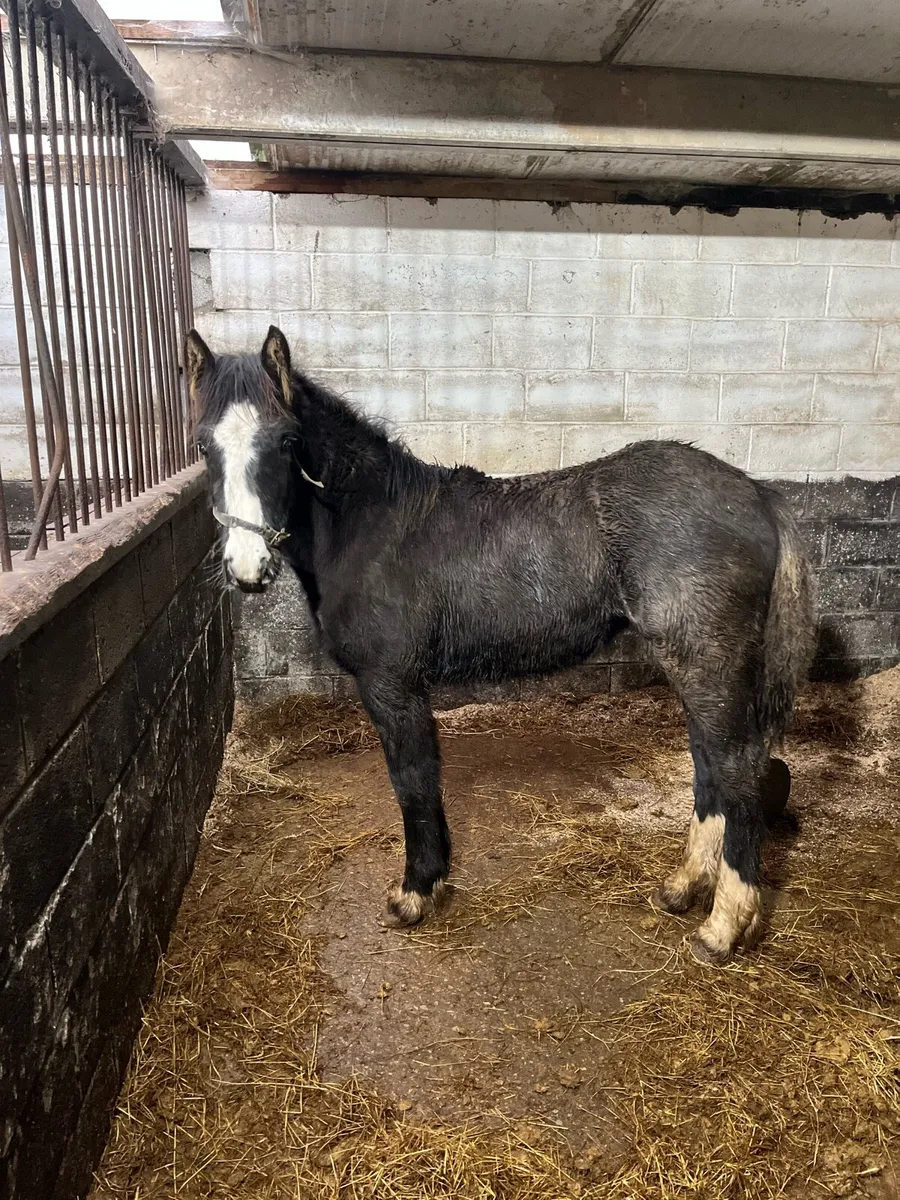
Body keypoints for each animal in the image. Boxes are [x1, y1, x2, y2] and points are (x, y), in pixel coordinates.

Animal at [187, 325, 815, 965]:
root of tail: (758, 494)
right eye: (203, 446)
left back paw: (724, 926)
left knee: (738, 770)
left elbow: (412, 777)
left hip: (708, 662)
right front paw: (434, 876)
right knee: (711, 767)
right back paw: (684, 887)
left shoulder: (391, 683)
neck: (372, 524)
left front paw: (415, 892)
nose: (247, 568)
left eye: (287, 441)